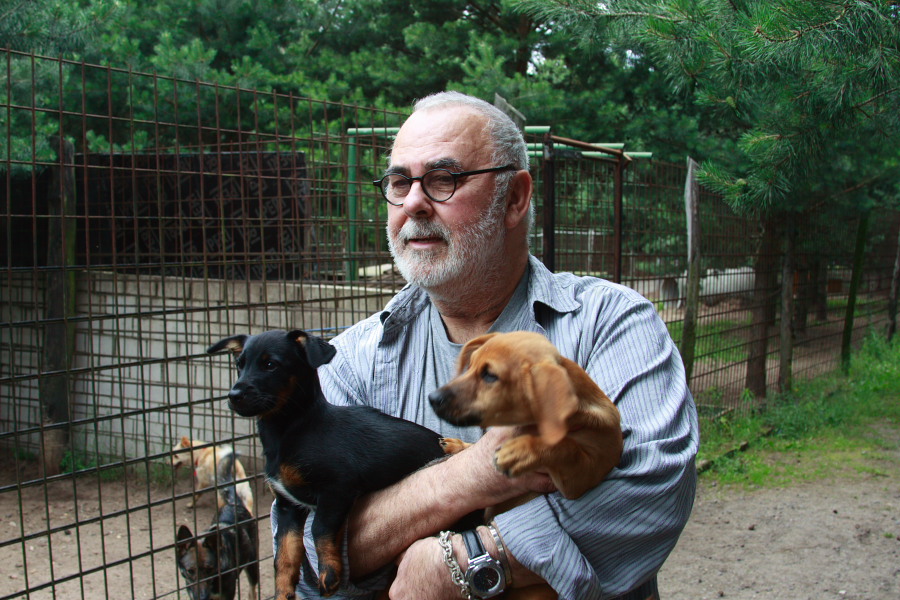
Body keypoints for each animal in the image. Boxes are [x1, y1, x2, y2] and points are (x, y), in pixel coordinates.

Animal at [176, 454, 258, 600]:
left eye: (209, 569)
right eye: (190, 571)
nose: (202, 597)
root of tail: (234, 504)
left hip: (252, 566)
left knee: (252, 590)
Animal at [207, 330, 468, 596]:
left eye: (271, 365)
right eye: (239, 365)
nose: (233, 396)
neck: (291, 428)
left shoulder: (337, 488)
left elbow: (319, 528)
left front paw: (330, 572)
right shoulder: (288, 505)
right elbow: (285, 551)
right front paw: (283, 591)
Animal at [428, 332, 624, 502]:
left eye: (490, 376)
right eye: (470, 366)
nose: (432, 398)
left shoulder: (585, 475)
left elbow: (566, 447)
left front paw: (521, 452)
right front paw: (459, 445)